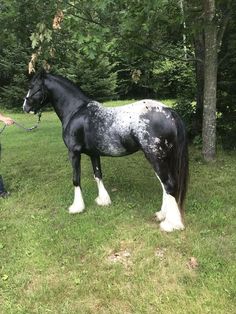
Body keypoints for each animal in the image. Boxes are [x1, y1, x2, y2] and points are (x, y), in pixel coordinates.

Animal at [22, 72, 188, 233]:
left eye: (32, 86)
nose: (25, 106)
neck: (76, 111)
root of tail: (169, 111)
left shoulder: (74, 153)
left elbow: (76, 179)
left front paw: (77, 207)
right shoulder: (94, 154)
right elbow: (98, 175)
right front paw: (103, 200)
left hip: (156, 157)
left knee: (169, 185)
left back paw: (171, 224)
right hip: (165, 158)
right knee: (166, 185)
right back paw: (162, 215)